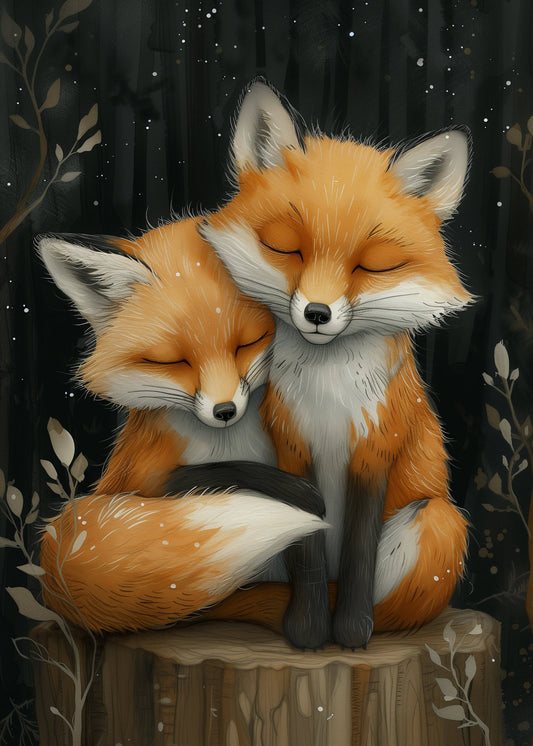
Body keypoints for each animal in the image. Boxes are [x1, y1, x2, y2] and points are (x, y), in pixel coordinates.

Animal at [36, 217, 328, 634]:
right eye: (172, 361)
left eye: (248, 344)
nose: (225, 411)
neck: (228, 441)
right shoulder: (141, 474)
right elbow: (195, 477)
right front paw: (299, 493)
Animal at [200, 81, 471, 649]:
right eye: (285, 247)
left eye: (374, 263)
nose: (317, 313)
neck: (328, 395)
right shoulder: (290, 445)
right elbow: (306, 550)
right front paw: (306, 630)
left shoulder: (376, 446)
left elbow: (359, 553)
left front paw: (348, 631)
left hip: (435, 519)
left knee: (396, 608)